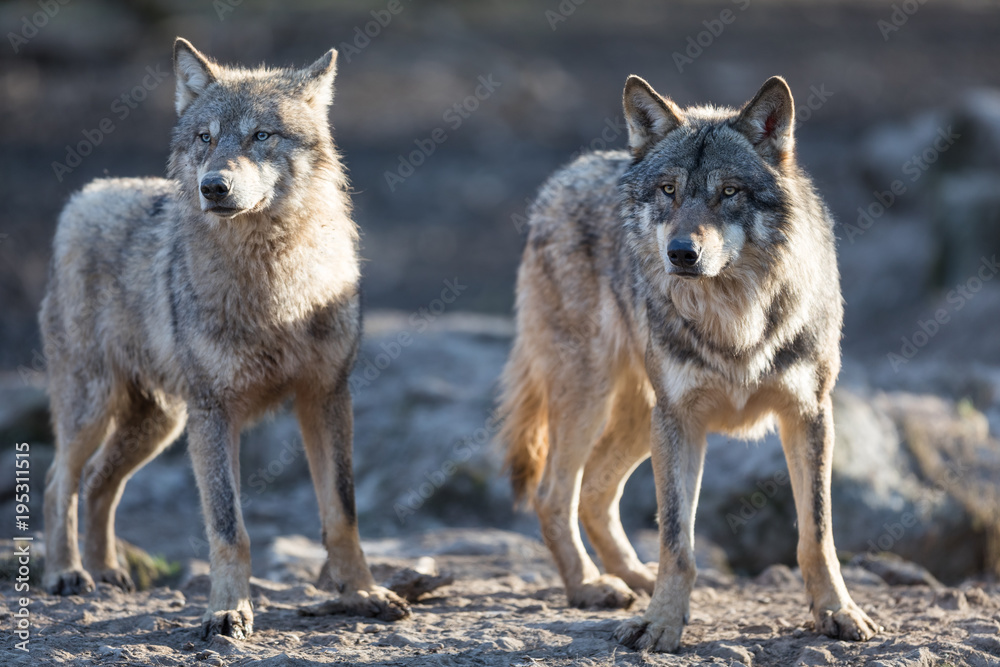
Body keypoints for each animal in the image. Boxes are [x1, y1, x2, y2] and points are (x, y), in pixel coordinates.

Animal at [40, 38, 410, 639]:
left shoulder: (326, 395)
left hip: (161, 424)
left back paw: (109, 572)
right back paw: (66, 573)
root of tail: (85, 195)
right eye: (205, 137)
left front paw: (362, 593)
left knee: (97, 483)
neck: (274, 287)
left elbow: (343, 512)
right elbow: (228, 527)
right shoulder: (215, 412)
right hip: (99, 409)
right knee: (58, 480)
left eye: (261, 135)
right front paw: (228, 610)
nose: (213, 186)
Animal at [499, 75, 882, 652]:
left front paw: (837, 612)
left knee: (593, 491)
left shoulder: (809, 413)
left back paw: (632, 576)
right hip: (596, 400)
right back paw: (590, 586)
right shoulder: (681, 421)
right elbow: (677, 540)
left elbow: (817, 534)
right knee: (553, 494)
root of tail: (564, 176)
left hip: (639, 417)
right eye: (668, 191)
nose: (681, 253)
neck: (735, 318)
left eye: (729, 192)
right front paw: (661, 623)